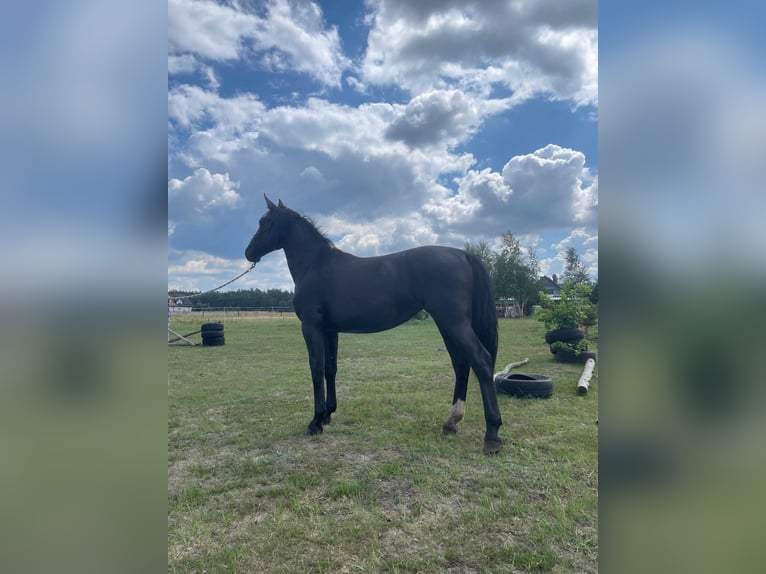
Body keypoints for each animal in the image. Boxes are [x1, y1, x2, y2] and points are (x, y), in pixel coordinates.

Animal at [245, 196, 503, 453]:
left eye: (265, 222)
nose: (248, 253)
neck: (316, 266)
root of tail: (463, 255)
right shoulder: (329, 331)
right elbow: (330, 369)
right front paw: (328, 414)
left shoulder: (312, 328)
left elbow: (316, 370)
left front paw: (315, 422)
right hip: (447, 324)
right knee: (461, 364)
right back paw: (451, 422)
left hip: (453, 322)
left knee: (481, 360)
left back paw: (492, 434)